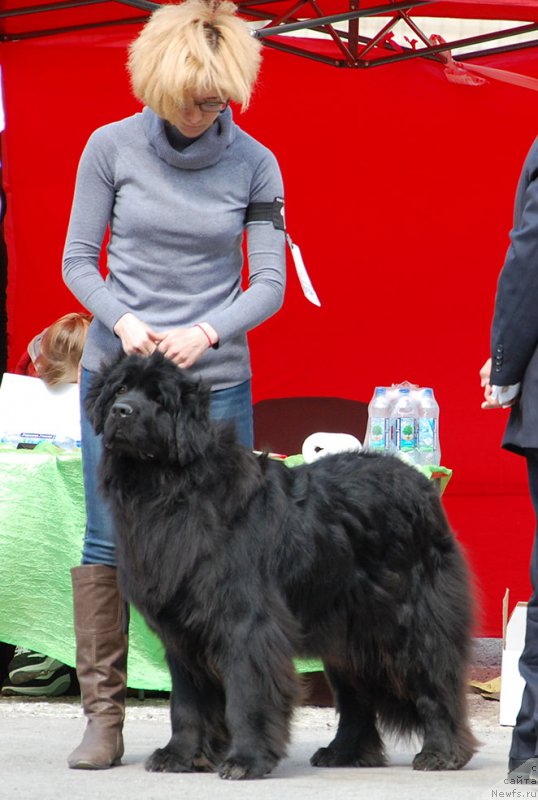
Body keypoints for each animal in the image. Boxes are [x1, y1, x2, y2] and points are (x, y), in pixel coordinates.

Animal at [88, 354, 478, 780]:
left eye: (159, 399)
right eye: (121, 389)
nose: (121, 411)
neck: (167, 488)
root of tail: (420, 483)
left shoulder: (246, 625)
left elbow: (246, 696)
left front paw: (246, 760)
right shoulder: (182, 631)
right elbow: (187, 703)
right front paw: (180, 755)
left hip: (413, 622)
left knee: (435, 683)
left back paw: (441, 752)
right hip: (346, 630)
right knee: (354, 697)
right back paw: (344, 752)